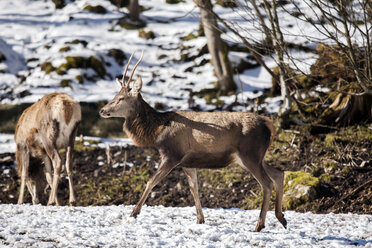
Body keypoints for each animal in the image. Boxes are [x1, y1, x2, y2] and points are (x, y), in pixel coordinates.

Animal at [99, 51, 288, 232]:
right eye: (115, 94)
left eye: (121, 98)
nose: (102, 110)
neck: (155, 132)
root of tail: (269, 124)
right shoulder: (188, 162)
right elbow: (193, 188)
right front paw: (200, 220)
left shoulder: (172, 154)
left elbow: (151, 181)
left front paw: (133, 213)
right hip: (255, 157)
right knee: (278, 173)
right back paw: (282, 218)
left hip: (250, 153)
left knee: (267, 183)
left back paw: (259, 225)